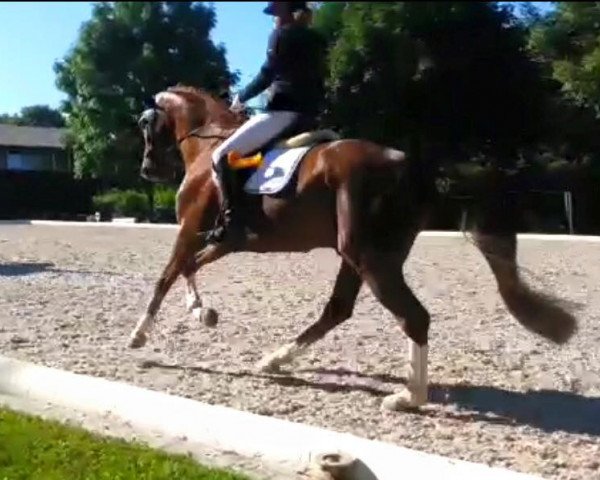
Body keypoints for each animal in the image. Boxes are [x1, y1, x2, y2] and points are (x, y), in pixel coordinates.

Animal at [130, 85, 576, 412]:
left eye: (145, 124)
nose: (148, 170)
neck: (209, 144)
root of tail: (412, 168)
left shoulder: (190, 228)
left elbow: (167, 274)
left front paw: (139, 335)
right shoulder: (227, 241)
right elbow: (190, 268)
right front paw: (201, 311)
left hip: (368, 256)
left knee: (413, 316)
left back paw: (408, 397)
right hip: (357, 255)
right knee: (338, 310)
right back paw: (277, 360)